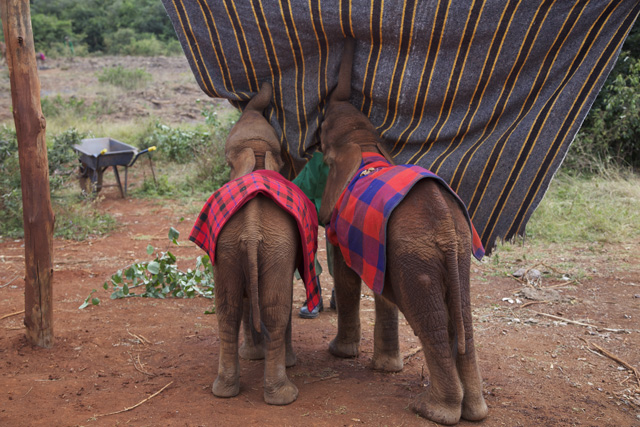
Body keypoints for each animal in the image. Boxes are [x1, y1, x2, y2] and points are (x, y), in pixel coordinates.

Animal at [190, 82, 320, 406]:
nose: (265, 86)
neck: (258, 156)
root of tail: (250, 228)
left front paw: (253, 357)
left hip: (230, 247)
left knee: (228, 308)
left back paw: (224, 390)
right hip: (274, 247)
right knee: (275, 309)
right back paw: (284, 396)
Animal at [318, 39, 488, 424]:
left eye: (321, 127)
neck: (364, 143)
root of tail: (445, 222)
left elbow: (347, 278)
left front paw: (341, 354)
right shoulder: (378, 246)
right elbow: (381, 289)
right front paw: (385, 369)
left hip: (415, 253)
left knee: (429, 318)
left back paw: (431, 411)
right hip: (445, 251)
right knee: (462, 317)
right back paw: (474, 412)